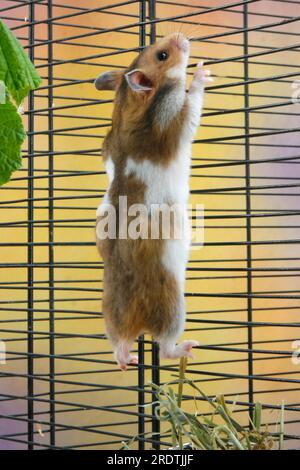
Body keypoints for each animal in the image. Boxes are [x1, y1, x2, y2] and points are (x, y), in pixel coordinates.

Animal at [94, 33, 211, 370]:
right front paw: (201, 72)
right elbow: (191, 101)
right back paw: (186, 348)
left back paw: (127, 359)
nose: (180, 36)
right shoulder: (173, 117)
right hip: (172, 305)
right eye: (162, 55)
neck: (128, 105)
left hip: (110, 313)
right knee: (166, 344)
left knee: (118, 343)